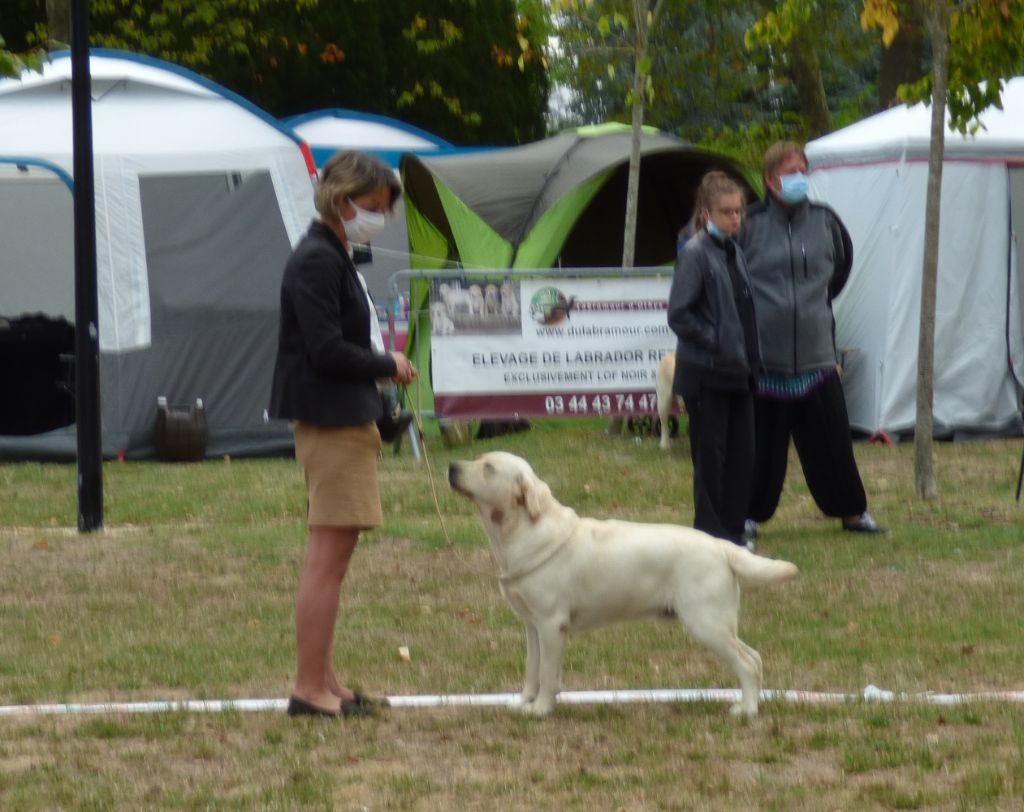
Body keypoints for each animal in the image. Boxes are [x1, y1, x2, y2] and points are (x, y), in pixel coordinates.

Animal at [448, 451, 798, 717]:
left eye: (488, 467)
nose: (451, 467)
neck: (517, 531)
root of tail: (722, 545)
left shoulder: (551, 624)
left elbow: (548, 675)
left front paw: (541, 709)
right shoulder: (532, 625)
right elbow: (532, 670)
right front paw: (523, 703)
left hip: (706, 622)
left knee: (746, 663)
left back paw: (746, 710)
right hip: (718, 623)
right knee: (755, 658)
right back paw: (752, 703)